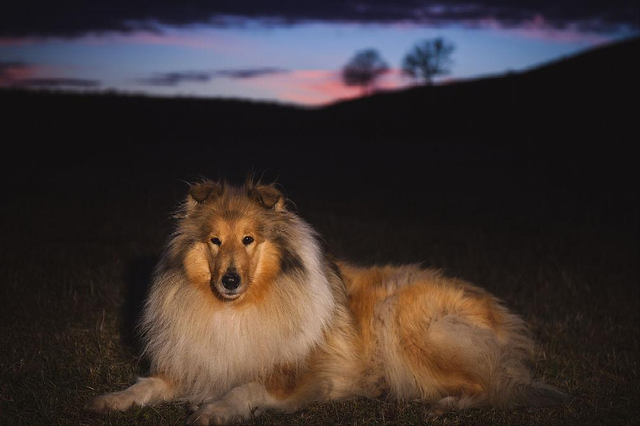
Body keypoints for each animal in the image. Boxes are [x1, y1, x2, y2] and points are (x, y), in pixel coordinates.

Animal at [87, 179, 568, 422]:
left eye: (249, 240)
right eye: (214, 241)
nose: (229, 280)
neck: (238, 309)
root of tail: (502, 315)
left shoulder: (298, 378)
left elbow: (244, 388)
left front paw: (213, 410)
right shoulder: (194, 361)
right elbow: (148, 384)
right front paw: (113, 400)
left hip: (408, 321)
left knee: (498, 386)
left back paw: (441, 403)